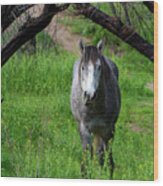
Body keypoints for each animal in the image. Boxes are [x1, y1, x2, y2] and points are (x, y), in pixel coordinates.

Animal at [70, 39, 121, 179]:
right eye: (83, 67)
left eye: (99, 67)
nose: (89, 95)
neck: (96, 108)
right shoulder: (84, 129)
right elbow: (86, 163)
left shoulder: (109, 130)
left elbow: (109, 162)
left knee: (101, 155)